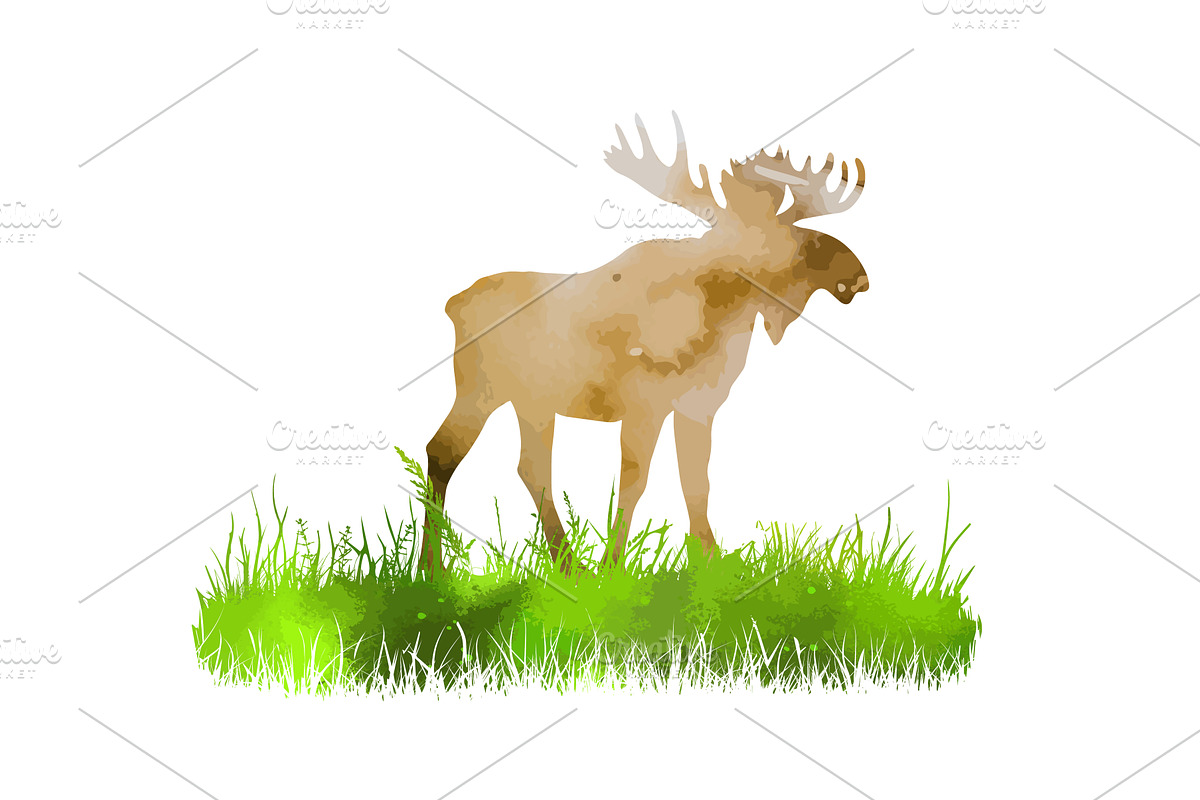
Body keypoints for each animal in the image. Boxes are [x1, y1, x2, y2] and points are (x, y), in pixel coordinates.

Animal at [419, 113, 869, 575]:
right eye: (793, 238)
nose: (857, 274)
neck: (718, 321)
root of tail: (452, 304)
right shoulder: (643, 406)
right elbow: (635, 482)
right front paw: (613, 566)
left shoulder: (698, 406)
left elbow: (697, 482)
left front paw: (709, 560)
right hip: (480, 389)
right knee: (442, 452)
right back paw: (431, 570)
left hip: (534, 403)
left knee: (531, 467)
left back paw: (567, 564)